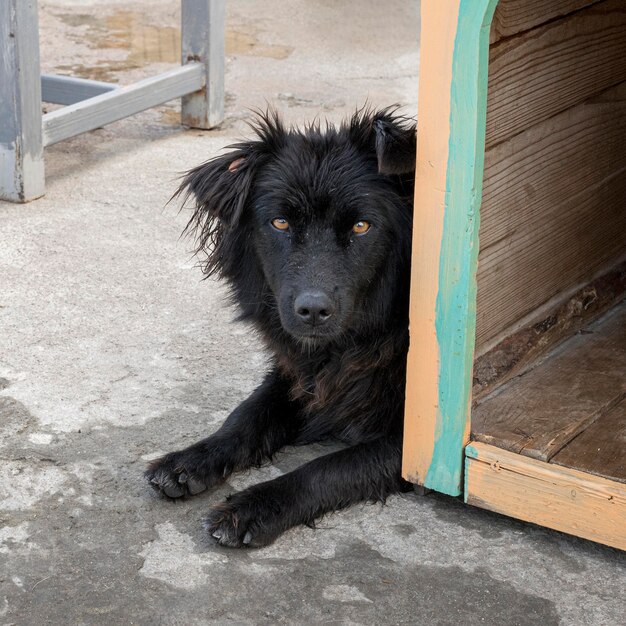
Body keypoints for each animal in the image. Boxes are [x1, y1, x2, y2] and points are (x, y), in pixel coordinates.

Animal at [146, 107, 414, 544]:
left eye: (361, 227)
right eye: (281, 223)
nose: (313, 310)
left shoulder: (421, 445)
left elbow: (325, 469)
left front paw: (252, 507)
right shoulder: (296, 375)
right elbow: (246, 415)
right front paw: (193, 458)